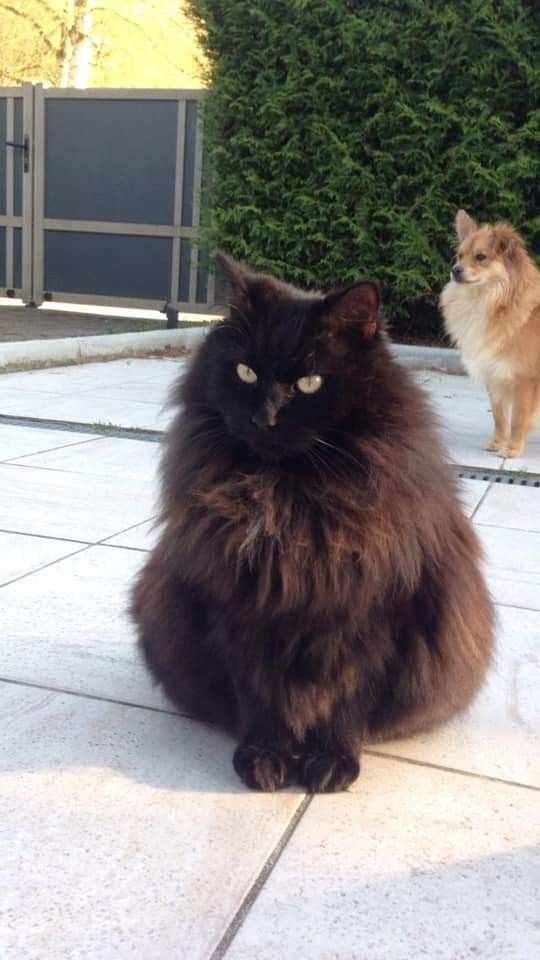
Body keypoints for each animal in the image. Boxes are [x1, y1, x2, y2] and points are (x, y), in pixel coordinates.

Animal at [438, 213, 540, 458]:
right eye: (459, 255)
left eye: (481, 257)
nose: (455, 269)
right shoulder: (495, 375)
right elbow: (500, 417)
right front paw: (498, 442)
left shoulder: (525, 381)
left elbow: (519, 419)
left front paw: (512, 449)